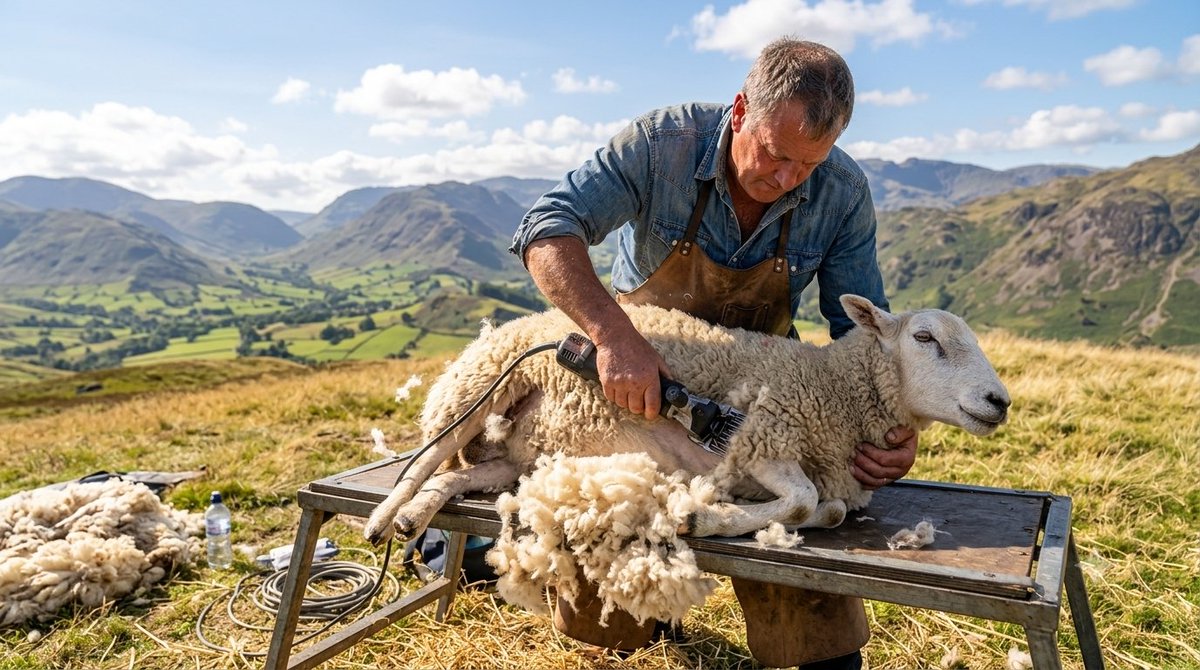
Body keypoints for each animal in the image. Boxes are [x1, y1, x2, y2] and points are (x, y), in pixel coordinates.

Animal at [364, 294, 1010, 546]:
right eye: (925, 339)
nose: (999, 401)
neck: (833, 389)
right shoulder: (759, 438)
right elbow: (803, 501)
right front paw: (706, 517)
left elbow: (825, 509)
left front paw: (719, 512)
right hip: (478, 390)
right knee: (422, 461)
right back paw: (382, 518)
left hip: (514, 457)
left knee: (457, 475)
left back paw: (415, 518)